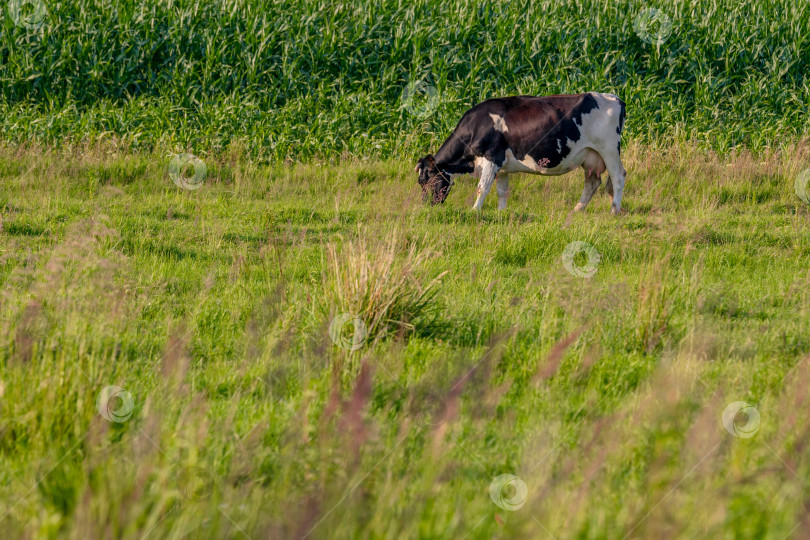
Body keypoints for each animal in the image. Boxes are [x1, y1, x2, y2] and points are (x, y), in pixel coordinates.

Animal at [414, 93, 628, 213]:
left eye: (428, 181)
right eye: (420, 182)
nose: (425, 204)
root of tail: (615, 98)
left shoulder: (492, 157)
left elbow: (482, 188)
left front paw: (474, 210)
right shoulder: (502, 167)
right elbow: (502, 191)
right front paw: (501, 212)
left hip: (609, 148)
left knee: (618, 177)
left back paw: (614, 210)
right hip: (590, 156)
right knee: (592, 182)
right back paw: (577, 209)